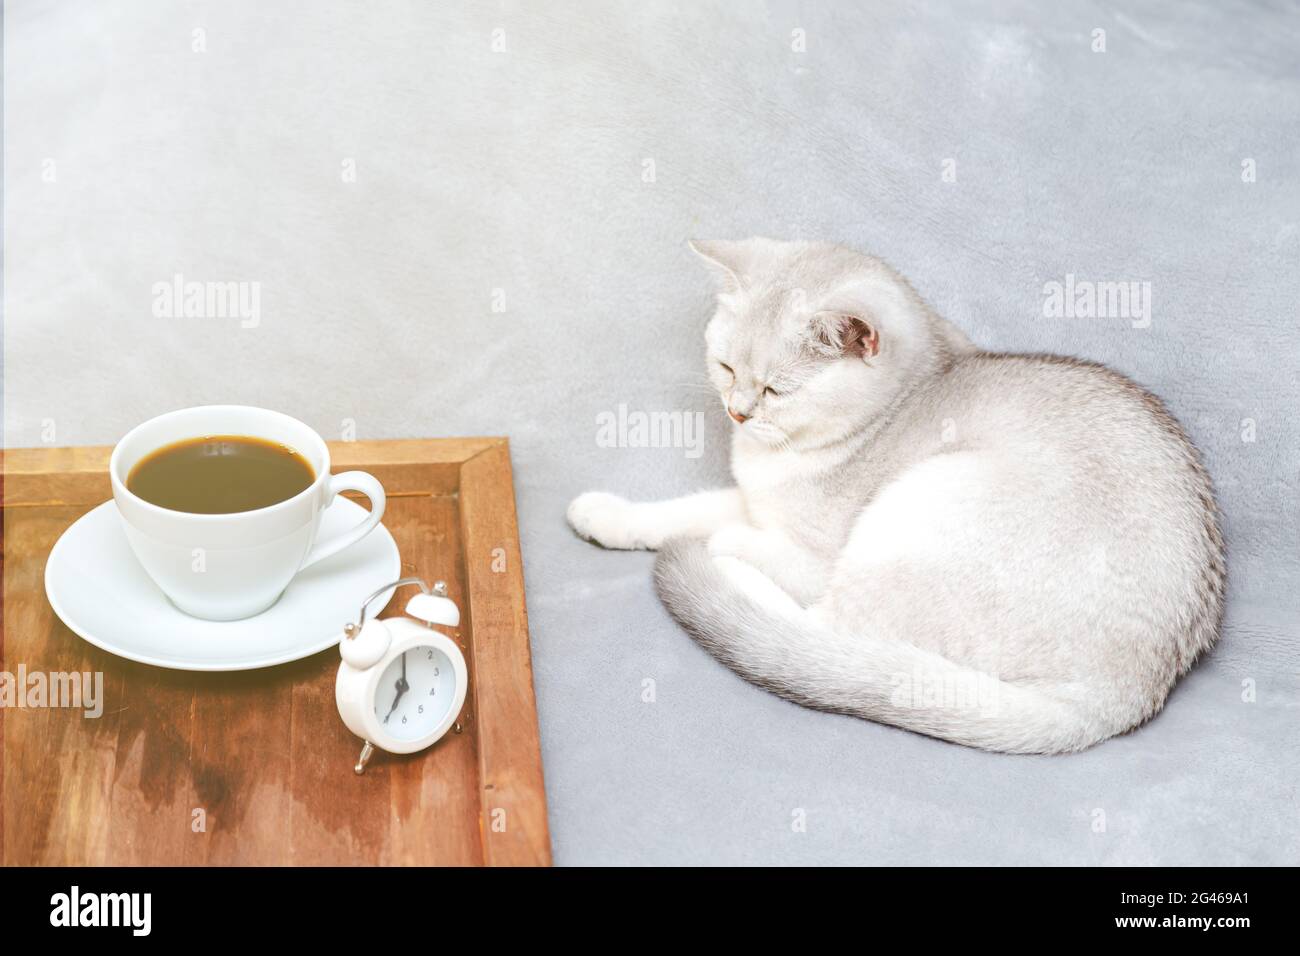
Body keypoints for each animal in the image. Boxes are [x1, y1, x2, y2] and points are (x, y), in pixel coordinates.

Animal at [564, 239, 1222, 754]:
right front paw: (606, 514)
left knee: (824, 632)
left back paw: (725, 569)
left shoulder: (809, 551)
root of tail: (1120, 696)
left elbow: (732, 532)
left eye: (776, 390)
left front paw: (712, 540)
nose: (737, 412)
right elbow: (686, 507)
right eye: (725, 368)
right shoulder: (754, 500)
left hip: (927, 501)